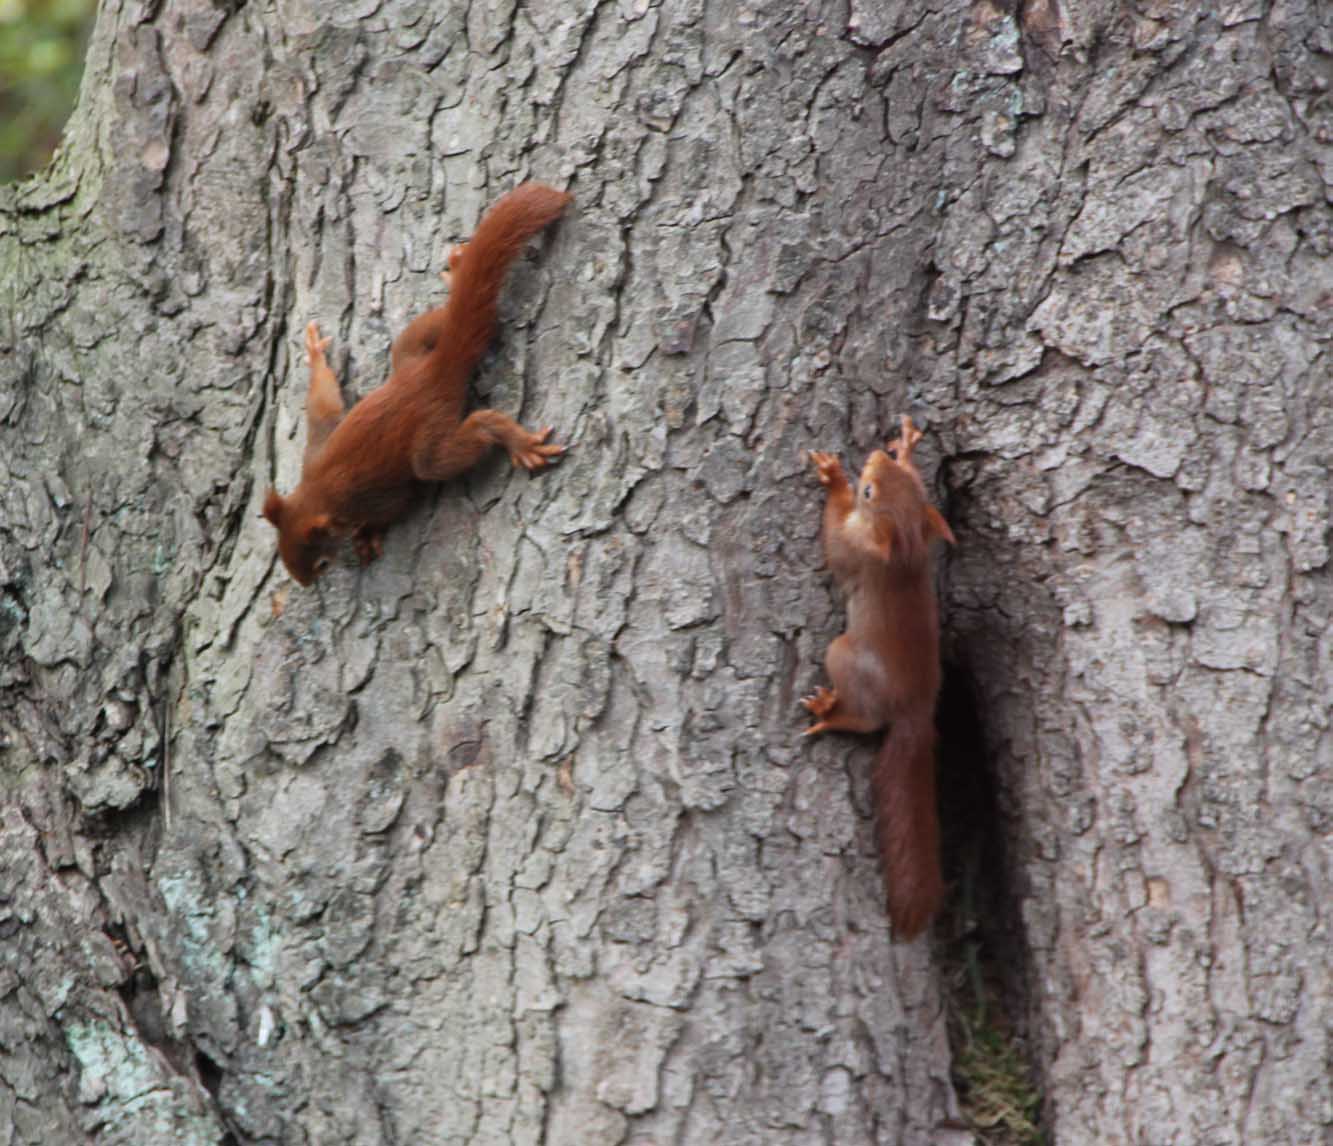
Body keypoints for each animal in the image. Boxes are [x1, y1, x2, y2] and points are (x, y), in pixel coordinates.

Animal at [262, 186, 570, 586]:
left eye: (321, 563)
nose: (307, 585)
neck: (317, 491)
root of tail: (432, 375)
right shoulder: (315, 448)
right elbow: (324, 406)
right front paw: (315, 355)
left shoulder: (370, 497)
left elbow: (391, 508)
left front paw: (367, 537)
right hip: (409, 351)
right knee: (441, 324)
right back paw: (457, 276)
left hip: (429, 448)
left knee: (467, 436)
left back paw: (515, 440)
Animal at [805, 415, 954, 938]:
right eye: (907, 481)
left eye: (869, 492)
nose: (873, 457)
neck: (905, 546)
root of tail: (916, 711)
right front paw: (908, 445)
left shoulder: (852, 551)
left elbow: (833, 539)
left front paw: (834, 480)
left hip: (844, 655)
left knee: (865, 720)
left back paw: (830, 713)